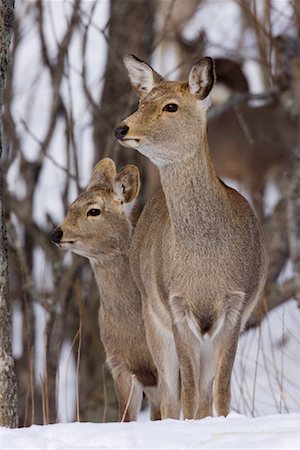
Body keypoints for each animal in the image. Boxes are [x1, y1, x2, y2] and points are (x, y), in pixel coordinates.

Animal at [114, 55, 268, 418]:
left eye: (171, 106)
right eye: (142, 102)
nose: (122, 128)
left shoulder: (238, 303)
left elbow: (220, 392)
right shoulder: (175, 305)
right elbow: (185, 393)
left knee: (201, 392)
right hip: (152, 318)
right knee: (170, 396)